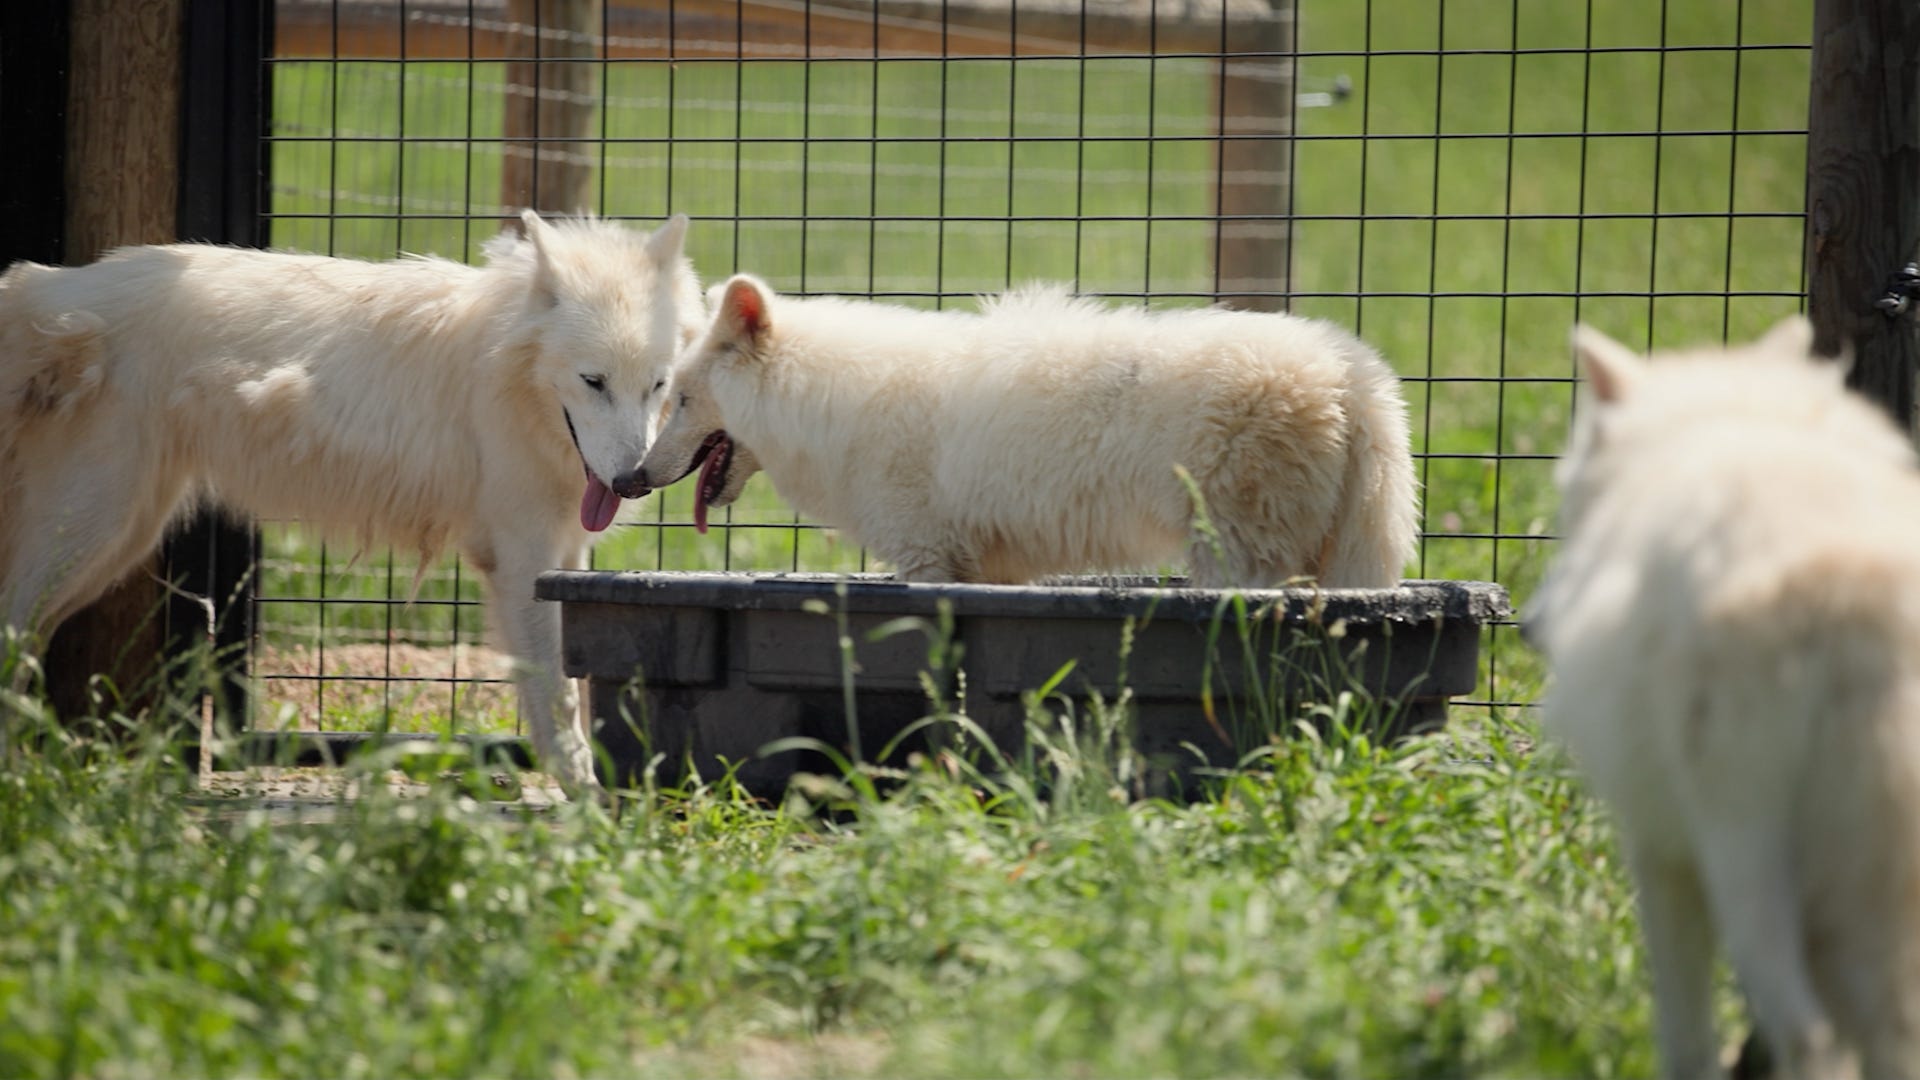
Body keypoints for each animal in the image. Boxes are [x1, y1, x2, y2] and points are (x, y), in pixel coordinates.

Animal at [0, 211, 702, 790]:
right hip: (91, 534)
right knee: (13, 625)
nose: (633, 480)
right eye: (593, 381)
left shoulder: (560, 556)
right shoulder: (521, 561)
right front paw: (588, 805)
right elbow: (559, 702)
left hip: (116, 540)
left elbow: (572, 690)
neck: (503, 374)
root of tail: (52, 288)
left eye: (656, 385)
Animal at [636, 276, 1418, 588]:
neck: (828, 399)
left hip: (1237, 557)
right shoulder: (990, 571)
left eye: (679, 398)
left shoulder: (926, 558)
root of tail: (1352, 371)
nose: (634, 479)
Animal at [1527, 317, 1920, 1080]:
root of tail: (1855, 601)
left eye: (1568, 508)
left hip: (1745, 867)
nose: (1527, 626)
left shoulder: (1659, 853)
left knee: (1811, 1037)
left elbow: (1683, 1026)